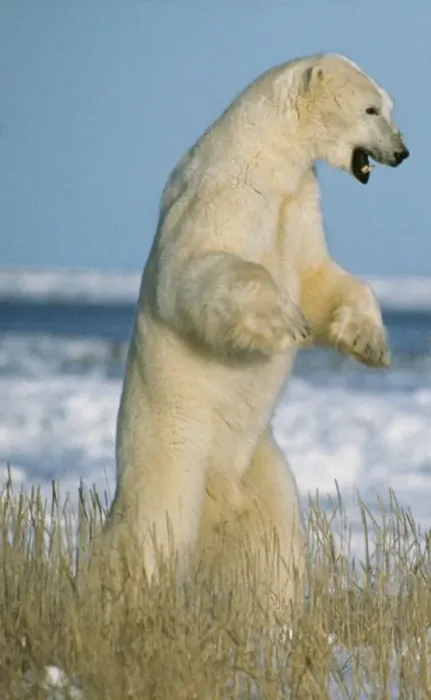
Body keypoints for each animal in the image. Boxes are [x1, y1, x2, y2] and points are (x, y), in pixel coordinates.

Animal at [100, 53, 409, 614]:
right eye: (371, 109)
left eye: (388, 106)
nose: (401, 152)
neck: (267, 151)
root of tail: (215, 498)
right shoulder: (225, 194)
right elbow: (198, 269)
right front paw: (285, 321)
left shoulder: (300, 202)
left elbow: (319, 278)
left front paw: (370, 342)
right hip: (174, 443)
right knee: (153, 529)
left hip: (259, 465)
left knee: (273, 549)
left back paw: (270, 613)